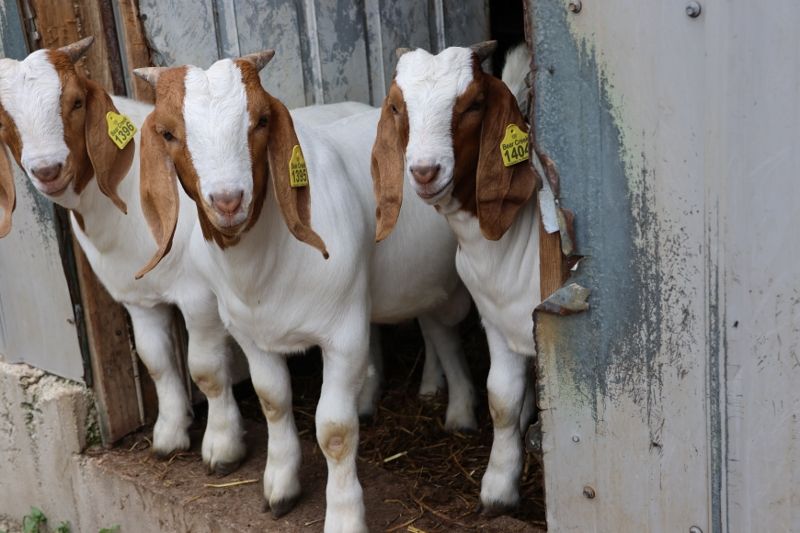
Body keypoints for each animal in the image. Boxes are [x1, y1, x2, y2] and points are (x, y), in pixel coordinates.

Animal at [132, 49, 475, 532]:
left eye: (260, 120)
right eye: (168, 132)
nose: (228, 201)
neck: (265, 262)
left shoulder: (343, 337)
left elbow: (334, 430)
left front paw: (345, 516)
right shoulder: (251, 334)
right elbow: (273, 402)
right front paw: (281, 485)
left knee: (448, 332)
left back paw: (460, 411)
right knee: (430, 327)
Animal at [369, 41, 540, 515]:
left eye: (474, 104)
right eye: (396, 106)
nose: (425, 171)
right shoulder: (497, 319)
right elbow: (501, 398)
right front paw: (499, 489)